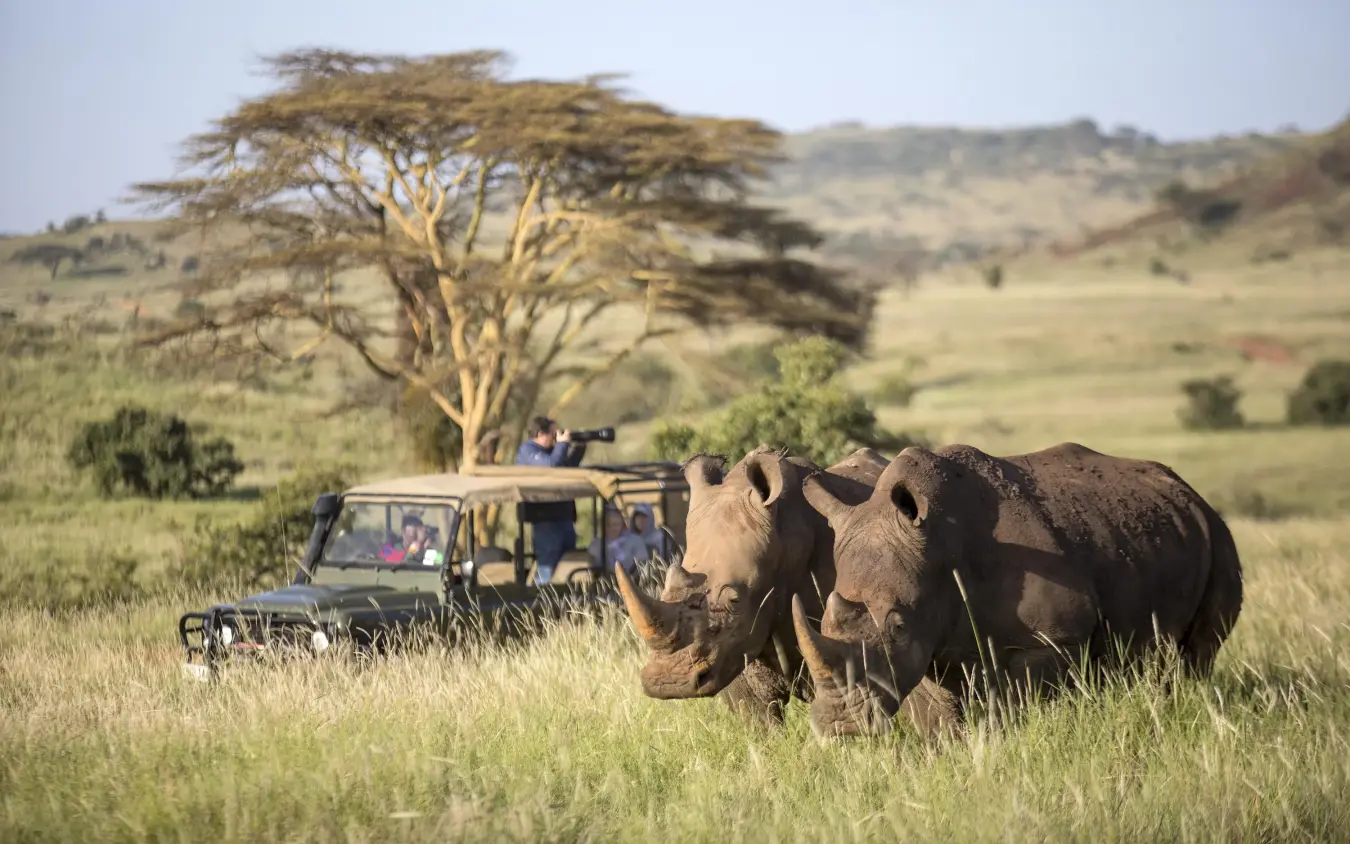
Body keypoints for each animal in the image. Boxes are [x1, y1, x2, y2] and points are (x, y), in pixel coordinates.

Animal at [790, 442, 1245, 740]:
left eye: (898, 626)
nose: (839, 726)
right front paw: (946, 755)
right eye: (824, 622)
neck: (939, 546)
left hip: (1218, 538)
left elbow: (1020, 703)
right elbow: (936, 716)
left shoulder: (1049, 640)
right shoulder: (928, 643)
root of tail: (1190, 492)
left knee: (1196, 655)